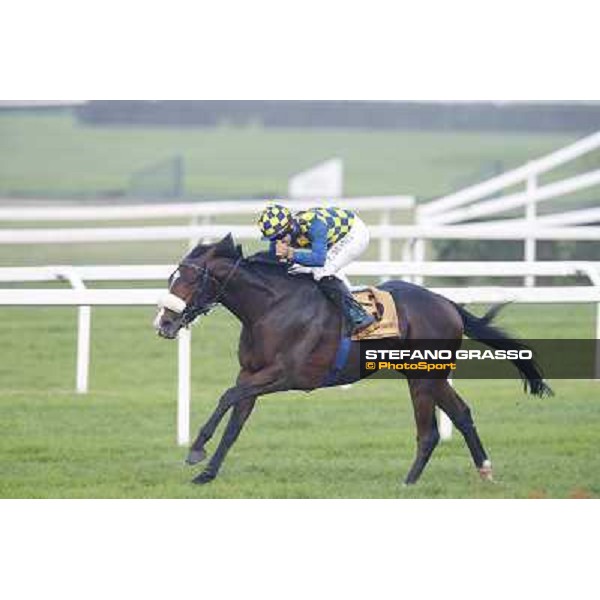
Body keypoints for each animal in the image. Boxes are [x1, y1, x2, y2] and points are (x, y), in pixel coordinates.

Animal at [155, 234, 552, 488]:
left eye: (189, 278)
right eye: (173, 276)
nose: (163, 323)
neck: (270, 307)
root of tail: (447, 303)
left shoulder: (284, 375)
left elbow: (226, 396)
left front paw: (195, 449)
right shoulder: (251, 373)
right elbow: (235, 422)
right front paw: (206, 473)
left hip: (424, 376)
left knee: (430, 431)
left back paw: (408, 483)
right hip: (428, 376)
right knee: (462, 413)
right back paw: (484, 470)